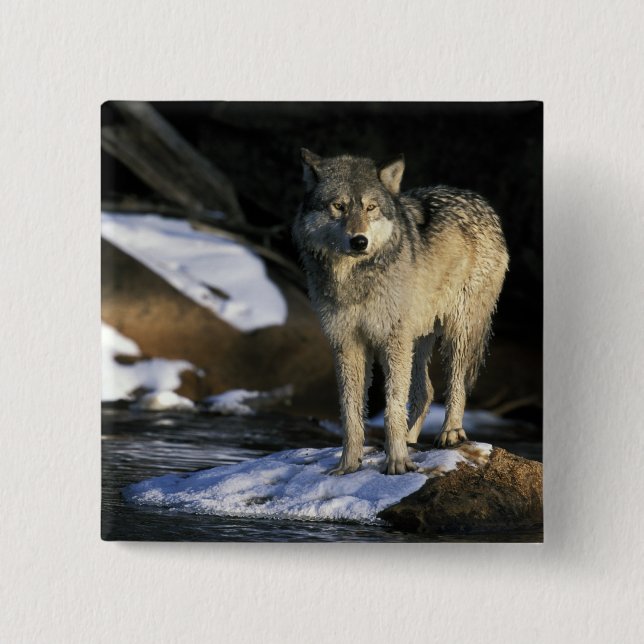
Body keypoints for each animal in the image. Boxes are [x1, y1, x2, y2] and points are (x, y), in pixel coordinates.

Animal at [293, 150, 509, 475]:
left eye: (370, 207)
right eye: (339, 206)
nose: (359, 241)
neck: (354, 280)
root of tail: (481, 202)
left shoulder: (391, 340)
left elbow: (392, 406)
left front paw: (396, 462)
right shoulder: (347, 343)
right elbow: (351, 414)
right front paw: (348, 465)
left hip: (456, 332)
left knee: (456, 385)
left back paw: (450, 432)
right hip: (417, 339)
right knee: (426, 391)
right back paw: (410, 439)